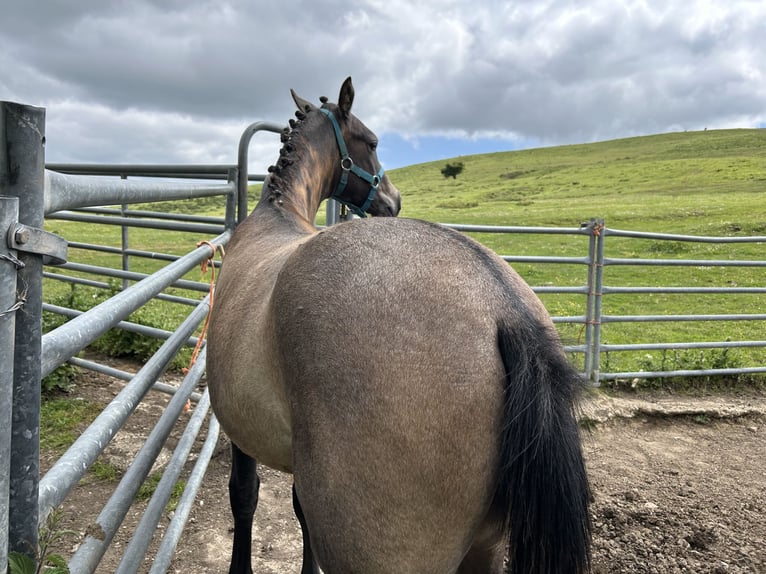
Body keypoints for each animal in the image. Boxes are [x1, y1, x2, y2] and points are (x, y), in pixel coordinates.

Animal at [206, 77, 592, 574]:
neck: (277, 217)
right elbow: (284, 507)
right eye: (371, 142)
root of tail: (502, 307)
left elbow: (246, 497)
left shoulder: (240, 427)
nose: (394, 199)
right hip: (483, 549)